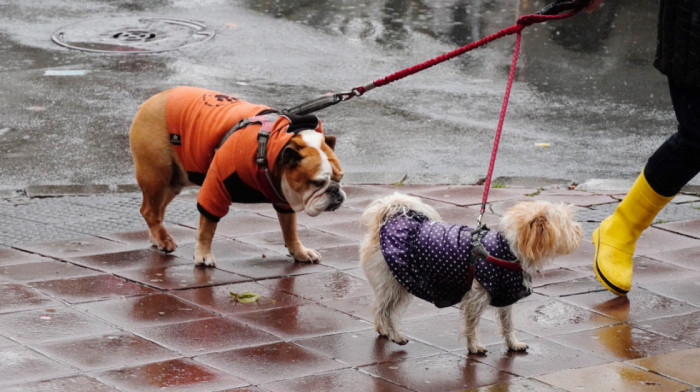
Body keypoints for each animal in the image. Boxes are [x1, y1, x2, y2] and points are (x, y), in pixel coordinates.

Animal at [358, 191, 584, 354]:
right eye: (567, 224)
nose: (580, 230)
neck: (505, 249)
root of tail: (388, 219)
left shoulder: (504, 294)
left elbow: (508, 323)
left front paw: (513, 343)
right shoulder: (476, 297)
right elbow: (472, 324)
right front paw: (474, 346)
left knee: (384, 309)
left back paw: (386, 331)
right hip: (395, 282)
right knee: (381, 309)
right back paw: (392, 334)